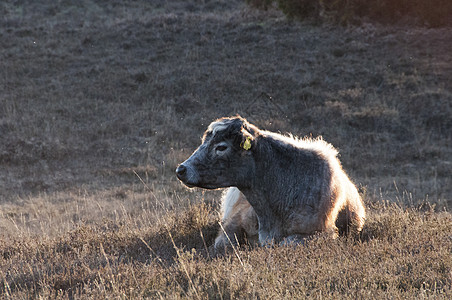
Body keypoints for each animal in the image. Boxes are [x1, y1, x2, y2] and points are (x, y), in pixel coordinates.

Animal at [175, 116, 366, 250]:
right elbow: (224, 243)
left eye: (221, 147)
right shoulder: (233, 221)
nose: (181, 169)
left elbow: (288, 243)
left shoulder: (322, 234)